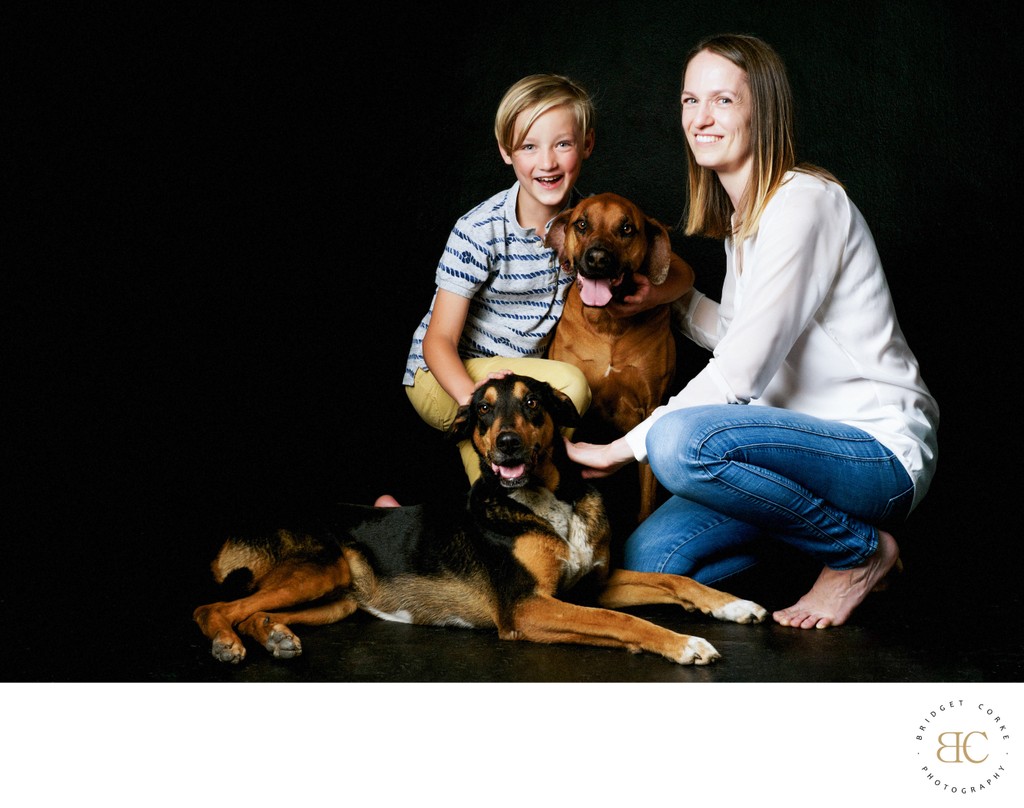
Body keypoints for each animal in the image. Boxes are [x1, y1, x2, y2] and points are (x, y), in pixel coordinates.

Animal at [193, 372, 770, 663]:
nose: (507, 443)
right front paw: (684, 643)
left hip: (338, 599)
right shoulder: (526, 608)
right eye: (485, 410)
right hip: (321, 567)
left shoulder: (592, 583)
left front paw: (732, 604)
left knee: (252, 611)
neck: (546, 503)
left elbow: (673, 581)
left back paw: (273, 636)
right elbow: (621, 620)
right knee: (212, 608)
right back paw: (228, 642)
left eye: (533, 403)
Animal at [544, 194, 696, 520]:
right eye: (582, 224)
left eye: (626, 229)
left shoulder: (651, 407)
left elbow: (647, 499)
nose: (598, 259)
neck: (609, 324)